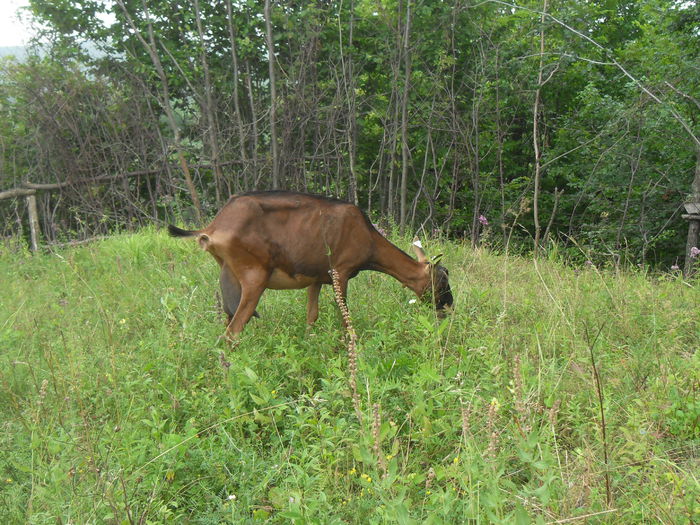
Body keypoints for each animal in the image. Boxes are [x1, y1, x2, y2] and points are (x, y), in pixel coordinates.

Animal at [170, 190, 454, 338]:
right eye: (442, 278)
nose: (448, 308)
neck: (367, 237)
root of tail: (212, 229)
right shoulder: (340, 271)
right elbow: (344, 314)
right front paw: (351, 342)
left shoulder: (316, 278)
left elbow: (312, 315)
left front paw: (309, 341)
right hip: (254, 276)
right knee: (234, 329)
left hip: (229, 276)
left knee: (228, 322)